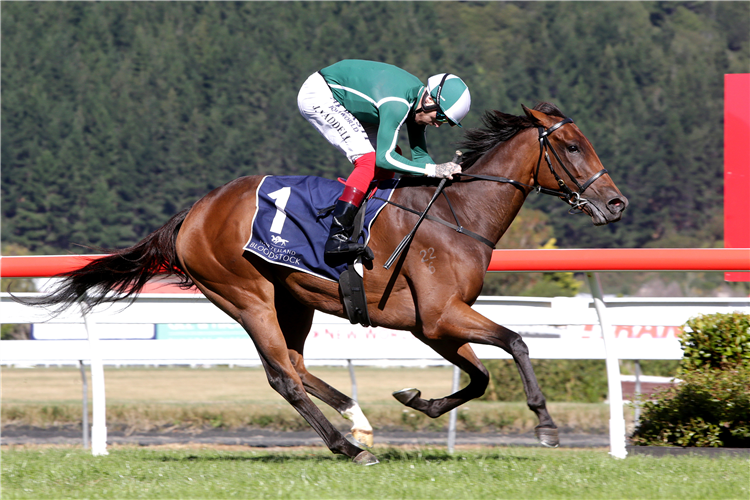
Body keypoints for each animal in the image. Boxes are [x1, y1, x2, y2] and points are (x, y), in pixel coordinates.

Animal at [25, 102, 628, 464]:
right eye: (572, 147)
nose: (616, 202)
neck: (458, 214)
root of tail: (193, 213)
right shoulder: (440, 315)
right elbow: (517, 341)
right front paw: (545, 424)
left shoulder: (431, 324)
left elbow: (478, 378)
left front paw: (418, 399)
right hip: (246, 296)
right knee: (282, 378)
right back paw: (348, 445)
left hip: (294, 299)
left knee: (296, 367)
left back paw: (356, 419)